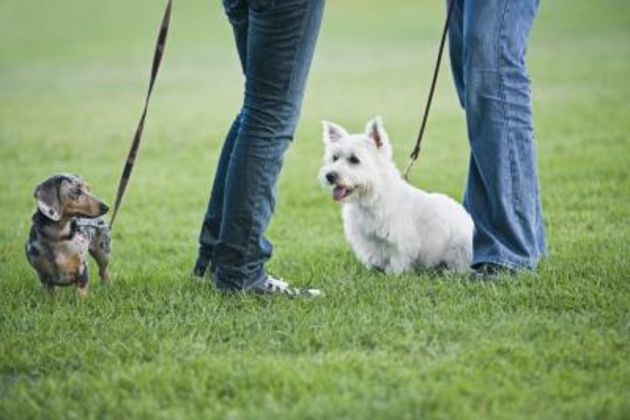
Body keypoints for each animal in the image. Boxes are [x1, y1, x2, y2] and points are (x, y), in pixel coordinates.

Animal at [320, 115, 474, 272]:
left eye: (354, 159)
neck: (373, 198)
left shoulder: (399, 240)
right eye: (334, 158)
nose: (330, 176)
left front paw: (394, 274)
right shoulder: (366, 239)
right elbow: (372, 256)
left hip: (459, 247)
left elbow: (397, 260)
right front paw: (373, 269)